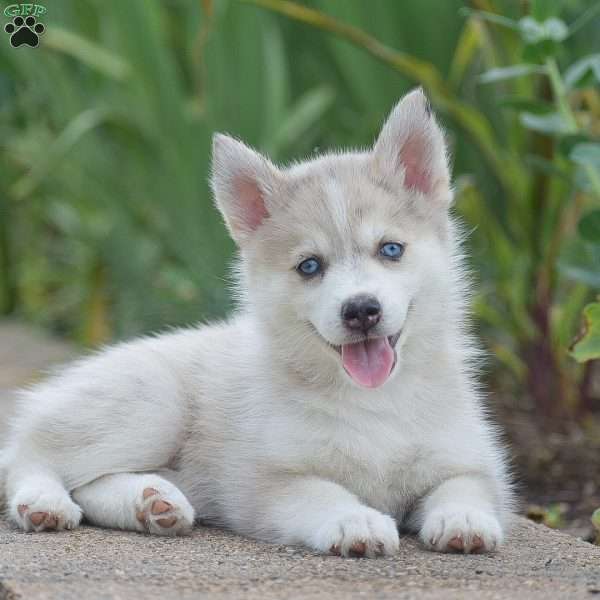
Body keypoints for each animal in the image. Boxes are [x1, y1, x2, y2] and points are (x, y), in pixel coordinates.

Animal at [2, 89, 512, 556]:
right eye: (310, 266)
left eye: (391, 249)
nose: (361, 310)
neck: (375, 403)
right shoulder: (267, 482)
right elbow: (323, 493)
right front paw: (356, 521)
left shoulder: (472, 462)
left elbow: (464, 486)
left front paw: (463, 519)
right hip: (150, 404)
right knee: (29, 456)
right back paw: (45, 503)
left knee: (89, 481)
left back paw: (154, 503)